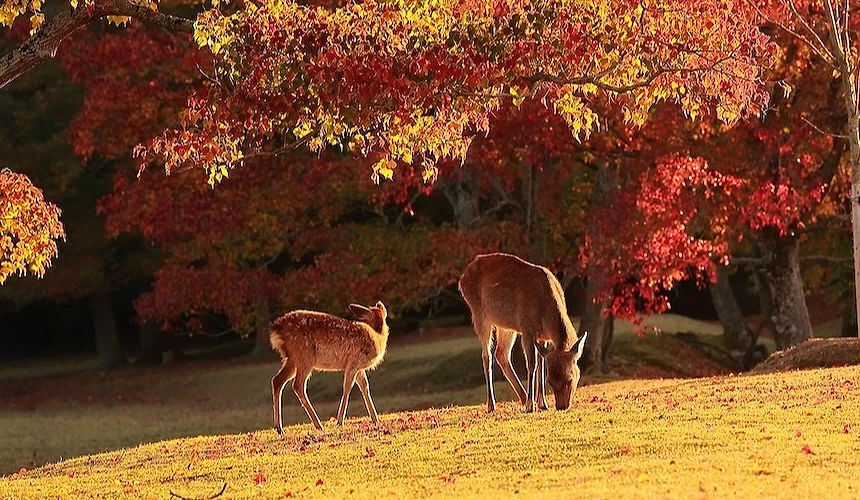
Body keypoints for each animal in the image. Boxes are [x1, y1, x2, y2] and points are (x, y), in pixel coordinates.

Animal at [269, 301, 389, 432]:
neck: (378, 337)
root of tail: (275, 329)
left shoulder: (358, 367)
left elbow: (365, 386)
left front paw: (375, 419)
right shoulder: (354, 361)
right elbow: (347, 388)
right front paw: (340, 421)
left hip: (292, 359)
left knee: (277, 380)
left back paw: (279, 428)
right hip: (305, 355)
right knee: (297, 385)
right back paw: (318, 424)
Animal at [458, 253, 588, 413]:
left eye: (570, 379)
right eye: (550, 381)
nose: (561, 407)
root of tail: (461, 280)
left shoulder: (542, 337)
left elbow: (541, 364)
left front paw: (542, 403)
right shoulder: (527, 329)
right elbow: (532, 364)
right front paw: (531, 405)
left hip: (506, 326)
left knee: (501, 353)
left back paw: (522, 397)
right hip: (479, 314)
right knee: (486, 355)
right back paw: (492, 405)